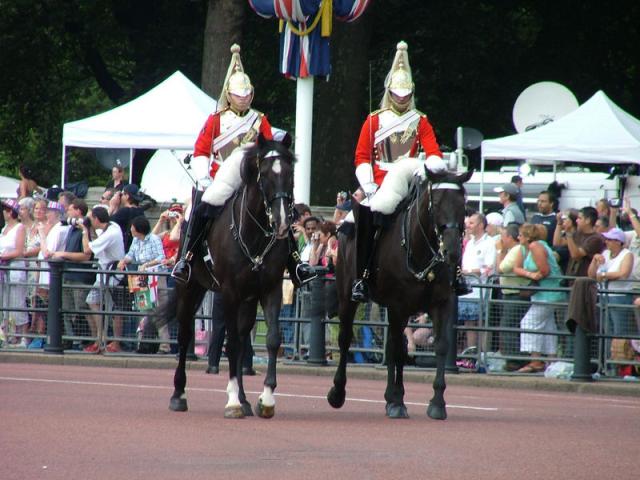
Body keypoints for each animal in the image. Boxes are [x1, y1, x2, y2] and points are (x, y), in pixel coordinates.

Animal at [158, 134, 296, 416]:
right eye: (265, 174)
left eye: (290, 173)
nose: (282, 222)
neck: (253, 233)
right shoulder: (230, 292)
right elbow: (230, 345)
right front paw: (232, 400)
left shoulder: (270, 290)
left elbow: (272, 339)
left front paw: (266, 398)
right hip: (191, 288)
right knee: (186, 335)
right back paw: (179, 394)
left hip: (247, 299)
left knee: (243, 340)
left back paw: (244, 400)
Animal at [328, 169, 472, 420]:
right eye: (436, 204)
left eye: (463, 205)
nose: (452, 251)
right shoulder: (399, 306)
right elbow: (397, 350)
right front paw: (397, 400)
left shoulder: (440, 304)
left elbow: (440, 346)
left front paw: (437, 402)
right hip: (347, 297)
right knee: (346, 339)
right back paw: (338, 392)